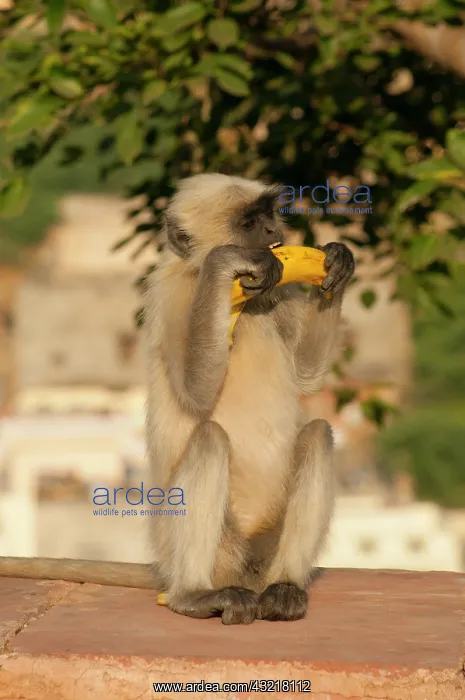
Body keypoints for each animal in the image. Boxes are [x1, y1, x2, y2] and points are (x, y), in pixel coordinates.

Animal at [0, 173, 354, 625]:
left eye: (268, 214)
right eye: (249, 223)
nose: (274, 231)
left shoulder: (275, 294)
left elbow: (308, 377)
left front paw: (339, 263)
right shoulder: (172, 297)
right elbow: (196, 395)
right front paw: (225, 262)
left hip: (264, 544)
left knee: (317, 435)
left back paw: (284, 587)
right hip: (194, 541)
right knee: (210, 439)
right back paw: (192, 595)